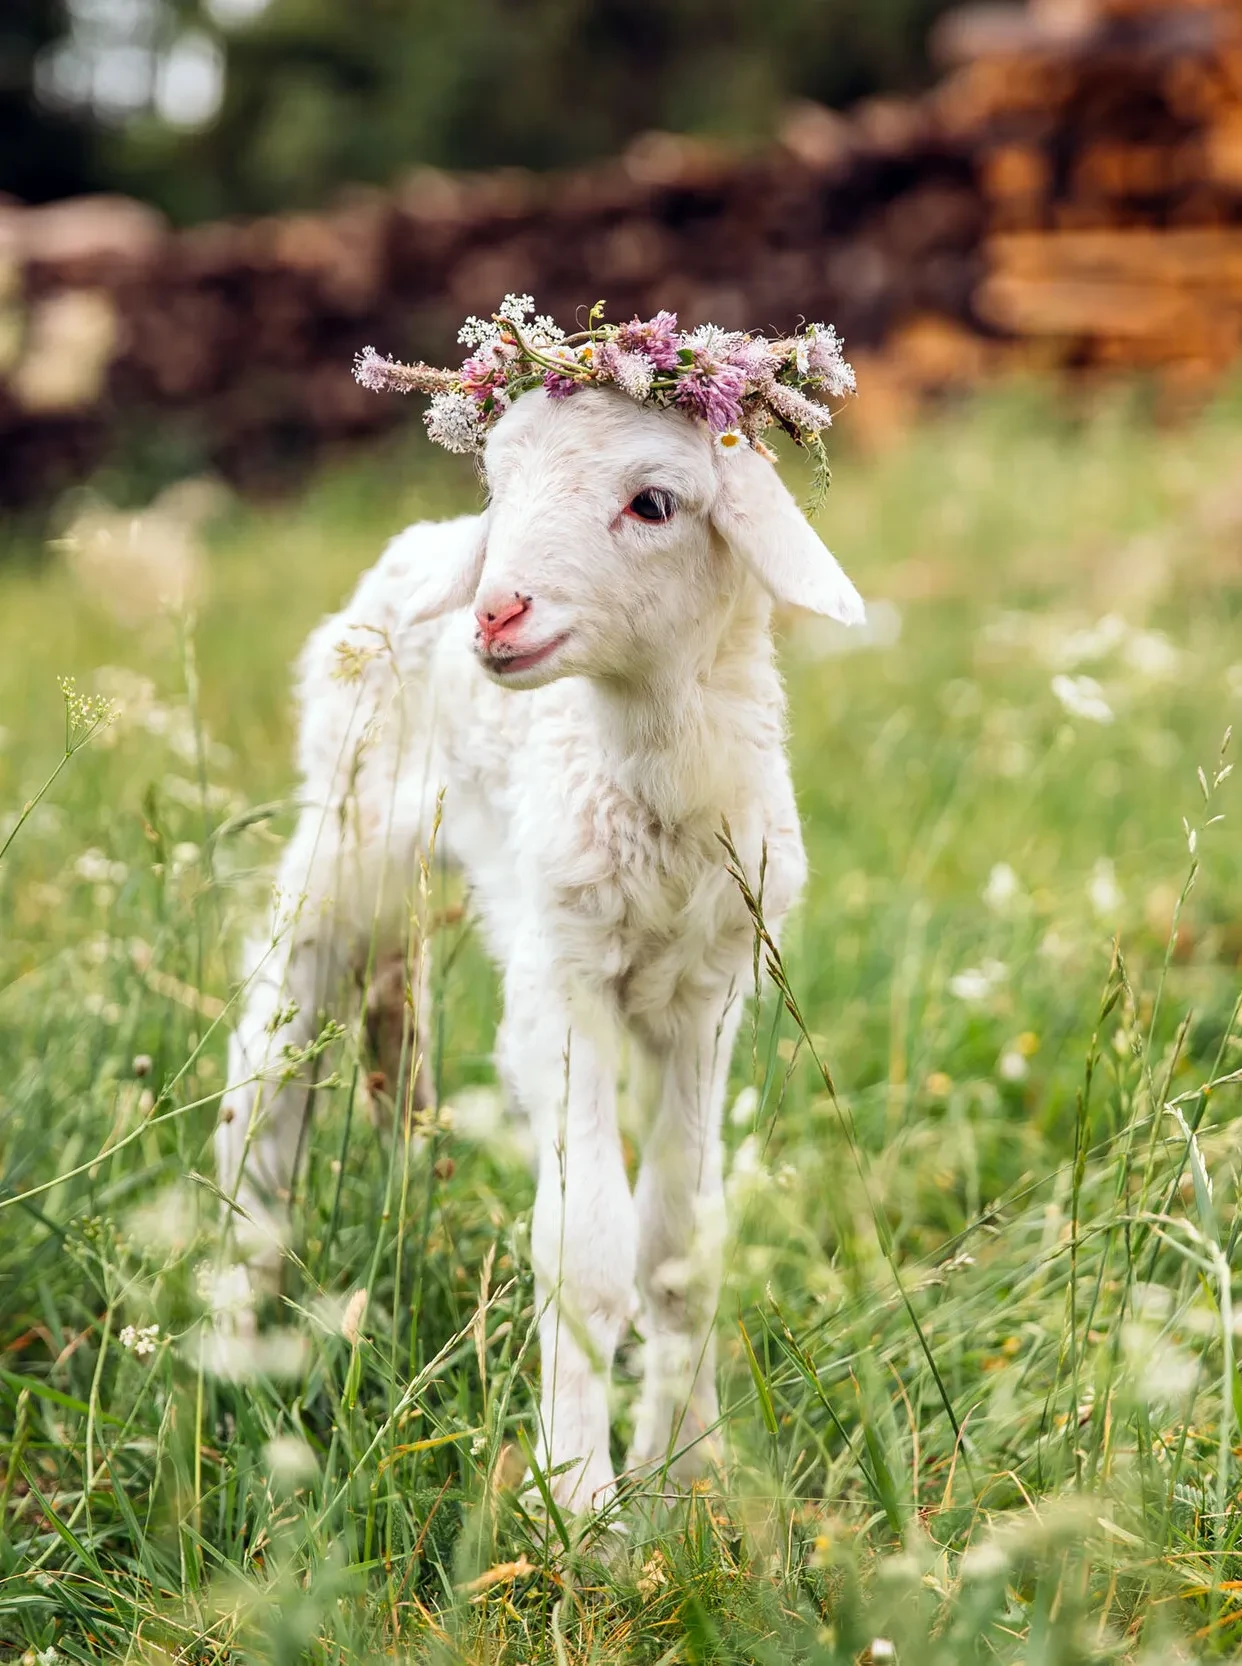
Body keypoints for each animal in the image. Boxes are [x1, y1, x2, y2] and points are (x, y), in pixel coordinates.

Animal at [218, 371, 860, 1519]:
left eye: (653, 503)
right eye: (501, 481)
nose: (495, 610)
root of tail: (421, 541)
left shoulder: (710, 995)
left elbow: (679, 1247)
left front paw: (687, 1479)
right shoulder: (567, 978)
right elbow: (588, 1249)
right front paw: (580, 1498)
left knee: (393, 1015)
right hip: (345, 822)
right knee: (271, 1052)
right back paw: (242, 1311)